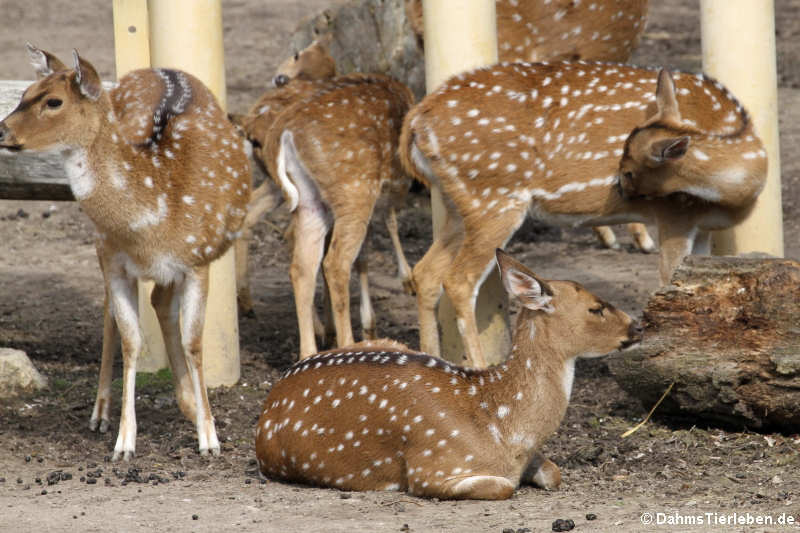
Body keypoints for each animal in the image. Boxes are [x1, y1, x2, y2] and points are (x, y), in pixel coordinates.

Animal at [0, 45, 251, 460]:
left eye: (53, 101)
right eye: (23, 93)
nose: (2, 130)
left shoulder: (198, 260)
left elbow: (194, 342)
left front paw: (209, 438)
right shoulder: (115, 262)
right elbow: (131, 340)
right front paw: (123, 442)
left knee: (160, 302)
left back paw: (188, 403)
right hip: (102, 246)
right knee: (114, 311)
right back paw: (101, 413)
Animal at [255, 249, 643, 499]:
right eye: (596, 308)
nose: (637, 327)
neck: (504, 429)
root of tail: (269, 402)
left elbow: (554, 473)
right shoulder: (431, 468)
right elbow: (504, 487)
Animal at [399, 64, 767, 368]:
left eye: (629, 169)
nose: (617, 187)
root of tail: (416, 119)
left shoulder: (701, 227)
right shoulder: (675, 213)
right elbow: (668, 283)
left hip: (457, 205)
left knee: (426, 272)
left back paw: (429, 358)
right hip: (494, 196)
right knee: (458, 279)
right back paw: (476, 367)